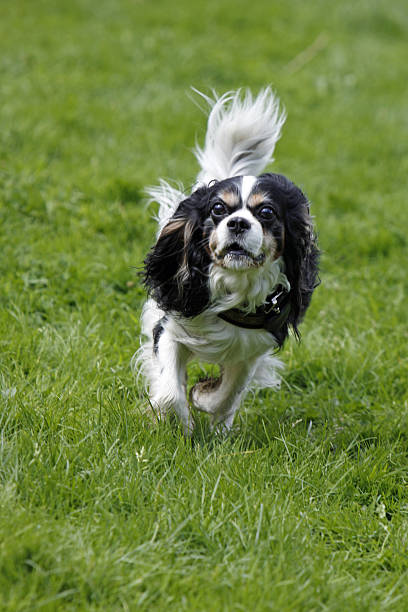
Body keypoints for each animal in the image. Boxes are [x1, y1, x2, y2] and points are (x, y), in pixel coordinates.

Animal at [135, 89, 320, 436]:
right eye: (218, 209)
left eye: (266, 213)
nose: (237, 223)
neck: (235, 284)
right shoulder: (170, 328)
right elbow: (169, 391)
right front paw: (182, 424)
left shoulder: (254, 347)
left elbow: (230, 392)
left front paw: (205, 399)